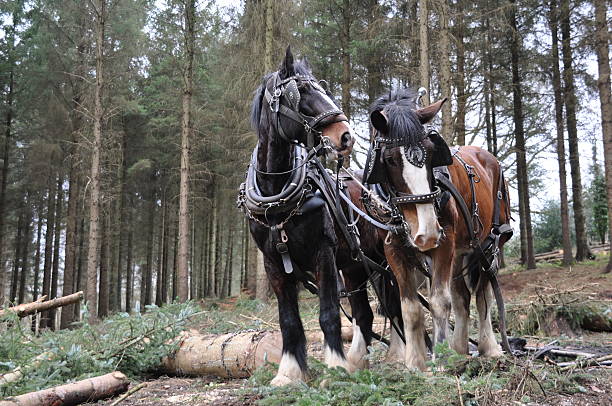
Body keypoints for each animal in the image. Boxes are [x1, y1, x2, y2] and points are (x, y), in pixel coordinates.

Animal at [237, 49, 356, 386]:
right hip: (354, 267)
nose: (346, 136)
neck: (277, 200)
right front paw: (289, 373)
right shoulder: (273, 263)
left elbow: (329, 314)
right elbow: (288, 319)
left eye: (322, 88)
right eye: (299, 92)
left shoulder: (323, 254)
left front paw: (336, 368)